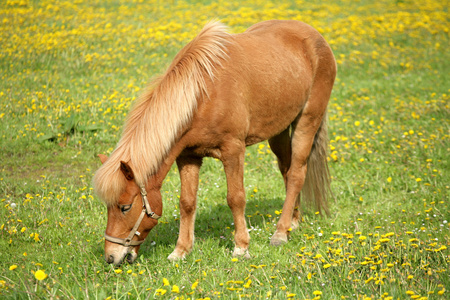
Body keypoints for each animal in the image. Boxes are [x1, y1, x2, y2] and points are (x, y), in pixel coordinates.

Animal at [93, 20, 336, 264]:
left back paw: (280, 232)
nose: (111, 257)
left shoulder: (233, 151)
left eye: (125, 207)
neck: (201, 94)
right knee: (286, 170)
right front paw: (181, 250)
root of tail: (314, 36)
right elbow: (187, 202)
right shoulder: (188, 156)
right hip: (280, 129)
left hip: (307, 121)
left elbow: (236, 198)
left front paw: (241, 247)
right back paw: (292, 222)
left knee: (296, 174)